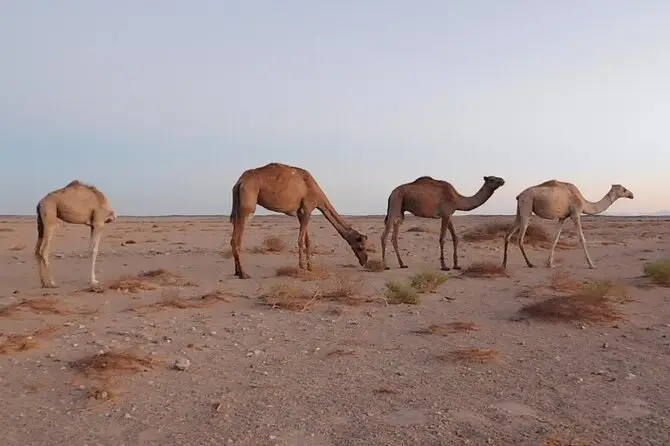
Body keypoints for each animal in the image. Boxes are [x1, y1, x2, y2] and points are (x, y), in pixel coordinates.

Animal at [228, 162, 370, 278]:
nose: (365, 261)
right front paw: (302, 266)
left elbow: (307, 240)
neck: (317, 192)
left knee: (233, 237)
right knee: (237, 239)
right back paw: (243, 274)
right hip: (248, 204)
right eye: (361, 247)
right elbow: (301, 240)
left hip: (238, 207)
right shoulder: (307, 208)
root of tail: (239, 182)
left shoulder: (300, 212)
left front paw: (310, 267)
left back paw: (236, 272)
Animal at [504, 179, 636, 268]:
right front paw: (591, 264)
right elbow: (582, 239)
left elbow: (555, 239)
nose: (632, 195)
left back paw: (504, 264)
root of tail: (519, 195)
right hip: (527, 204)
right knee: (520, 237)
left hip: (520, 208)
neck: (584, 202)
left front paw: (549, 263)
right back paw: (529, 263)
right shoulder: (575, 214)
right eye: (624, 189)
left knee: (508, 234)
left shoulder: (562, 218)